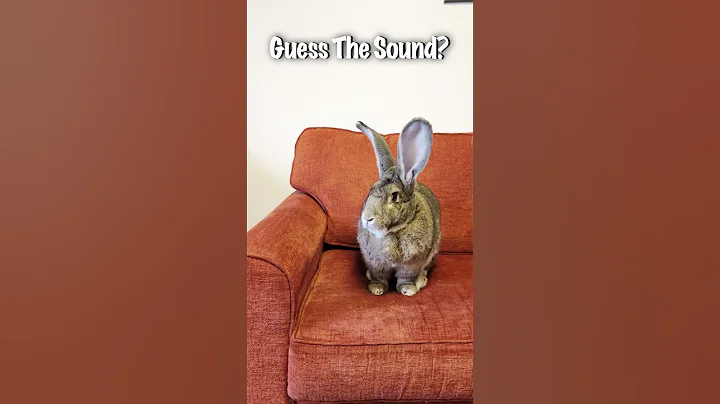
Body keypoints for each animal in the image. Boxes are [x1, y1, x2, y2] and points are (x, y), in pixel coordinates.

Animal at [355, 118, 441, 297]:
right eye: (371, 190)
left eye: (395, 196)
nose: (367, 218)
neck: (392, 232)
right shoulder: (375, 262)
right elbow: (379, 277)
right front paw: (376, 289)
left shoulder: (412, 264)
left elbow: (406, 277)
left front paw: (408, 290)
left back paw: (421, 281)